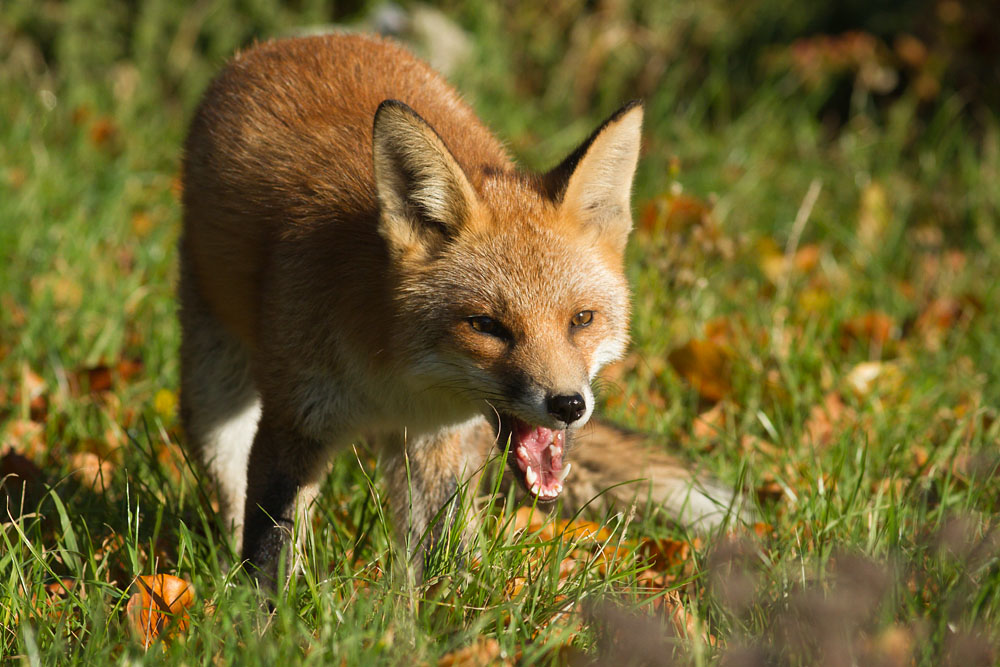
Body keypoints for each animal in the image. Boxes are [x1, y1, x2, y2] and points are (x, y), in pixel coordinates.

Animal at [179, 33, 737, 586]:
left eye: (581, 320)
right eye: (487, 326)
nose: (568, 406)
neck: (392, 375)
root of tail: (302, 39)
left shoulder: (437, 439)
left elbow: (436, 564)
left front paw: (441, 613)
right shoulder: (294, 423)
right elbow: (269, 553)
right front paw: (261, 612)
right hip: (213, 401)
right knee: (232, 496)